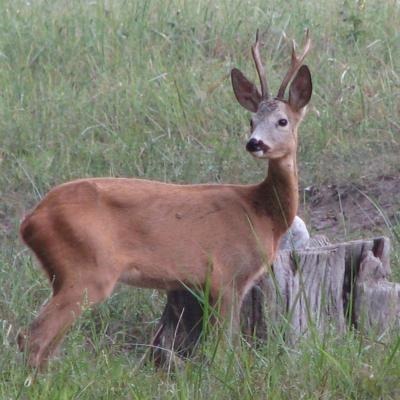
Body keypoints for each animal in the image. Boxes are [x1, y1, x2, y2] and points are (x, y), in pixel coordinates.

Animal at [18, 30, 312, 368]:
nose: (254, 143)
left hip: (62, 275)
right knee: (33, 336)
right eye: (251, 121)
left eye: (282, 121)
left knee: (45, 343)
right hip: (87, 270)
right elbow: (224, 350)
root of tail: (30, 220)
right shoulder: (226, 274)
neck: (262, 213)